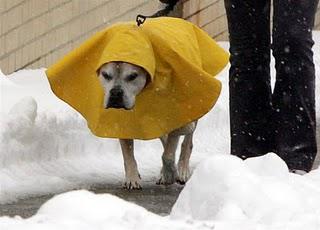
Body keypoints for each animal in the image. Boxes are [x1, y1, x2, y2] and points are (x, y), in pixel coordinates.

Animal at [97, 61, 198, 189]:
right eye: (105, 75)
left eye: (133, 76)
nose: (115, 93)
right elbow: (127, 153)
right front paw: (132, 178)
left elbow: (168, 153)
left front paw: (169, 174)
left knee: (187, 141)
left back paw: (182, 170)